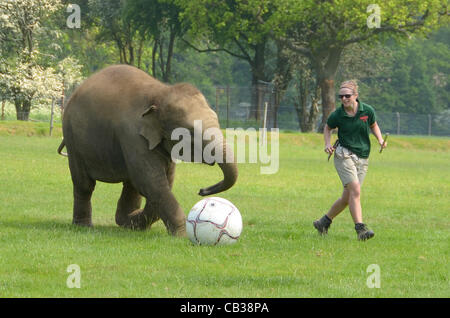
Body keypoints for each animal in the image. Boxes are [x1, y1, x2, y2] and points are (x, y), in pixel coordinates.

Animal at [58, 65, 237, 236]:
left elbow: (163, 181)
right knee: (84, 184)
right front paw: (183, 235)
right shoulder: (132, 135)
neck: (161, 93)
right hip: (73, 139)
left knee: (130, 184)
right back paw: (84, 226)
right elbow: (152, 181)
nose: (202, 191)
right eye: (191, 132)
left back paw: (127, 221)